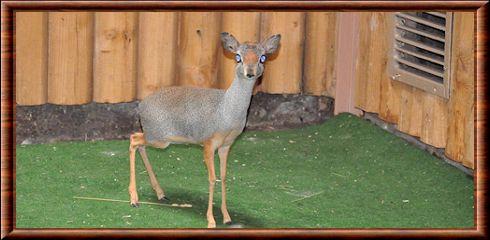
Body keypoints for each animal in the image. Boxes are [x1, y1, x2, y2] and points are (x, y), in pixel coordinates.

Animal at [128, 32, 282, 229]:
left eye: (262, 57)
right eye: (238, 57)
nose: (250, 73)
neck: (227, 109)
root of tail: (141, 105)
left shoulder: (226, 146)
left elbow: (223, 176)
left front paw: (227, 217)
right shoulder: (209, 144)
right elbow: (212, 178)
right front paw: (211, 220)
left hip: (156, 139)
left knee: (139, 144)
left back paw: (160, 194)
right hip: (159, 139)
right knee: (133, 139)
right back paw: (134, 199)